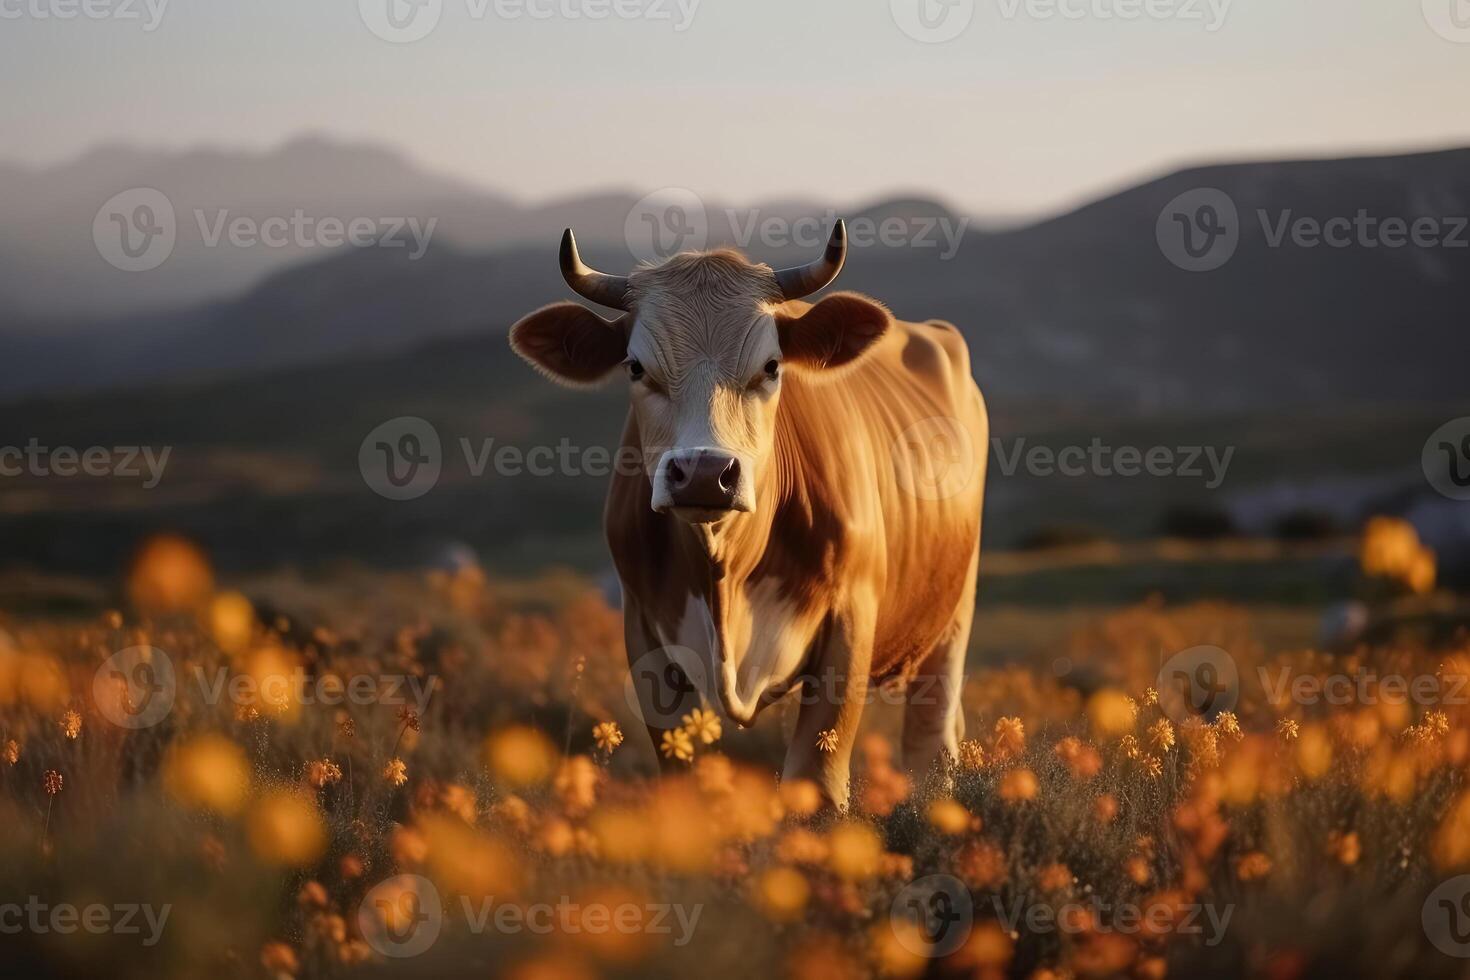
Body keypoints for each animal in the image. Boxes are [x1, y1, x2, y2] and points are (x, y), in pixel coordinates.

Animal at [508, 224, 987, 811]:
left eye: (772, 366)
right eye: (636, 367)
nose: (703, 472)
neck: (726, 573)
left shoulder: (850, 625)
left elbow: (816, 780)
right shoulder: (643, 632)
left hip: (951, 619)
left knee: (931, 741)